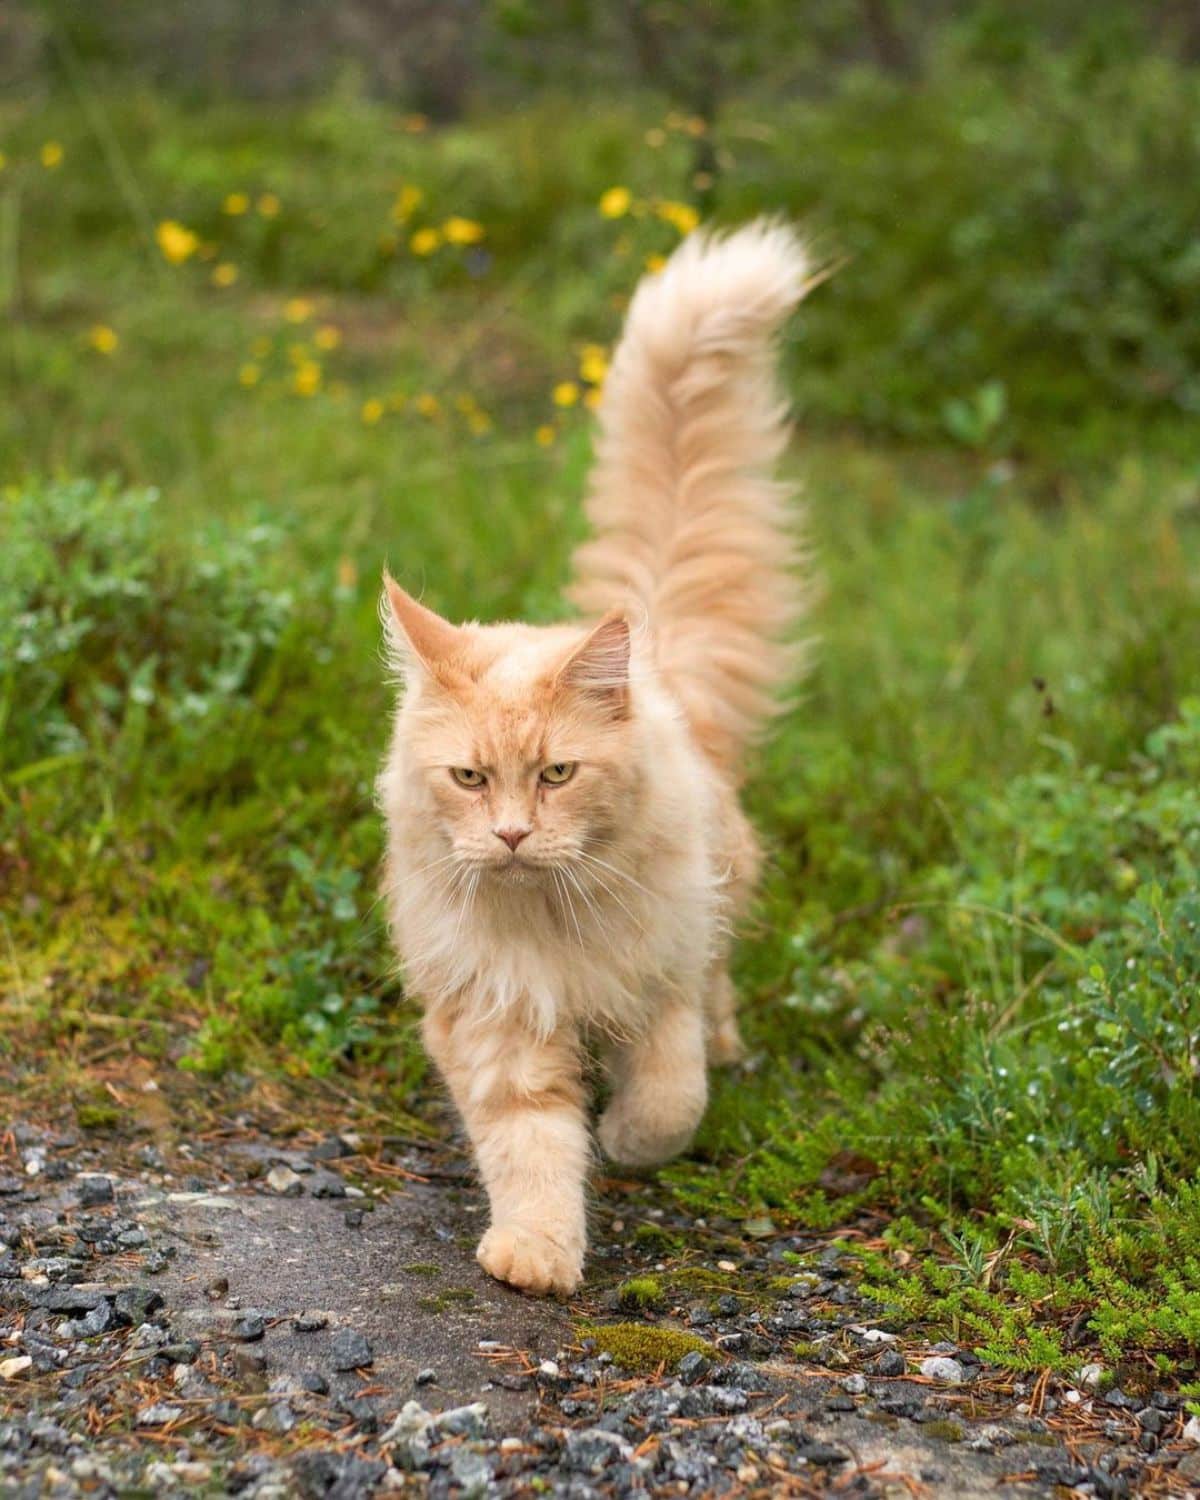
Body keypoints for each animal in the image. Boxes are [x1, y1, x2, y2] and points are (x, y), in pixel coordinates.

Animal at [382, 217, 816, 1296]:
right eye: (469, 777)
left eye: (557, 774)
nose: (509, 836)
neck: (550, 927)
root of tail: (650, 647)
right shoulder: (492, 1021)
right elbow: (530, 1145)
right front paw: (536, 1255)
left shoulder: (657, 984)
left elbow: (669, 1099)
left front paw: (625, 1140)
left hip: (716, 906)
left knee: (717, 1001)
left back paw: (726, 1047)